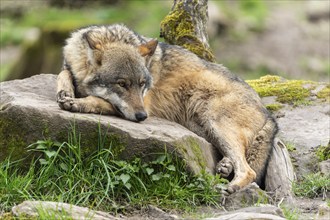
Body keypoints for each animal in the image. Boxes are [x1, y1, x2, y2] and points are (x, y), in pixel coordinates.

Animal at [56, 23, 278, 192]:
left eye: (142, 84)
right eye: (122, 84)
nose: (142, 116)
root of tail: (269, 115)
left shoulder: (144, 103)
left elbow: (98, 100)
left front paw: (77, 103)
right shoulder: (69, 65)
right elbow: (63, 74)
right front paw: (65, 92)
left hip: (215, 122)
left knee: (248, 170)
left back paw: (230, 186)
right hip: (202, 126)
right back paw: (224, 166)